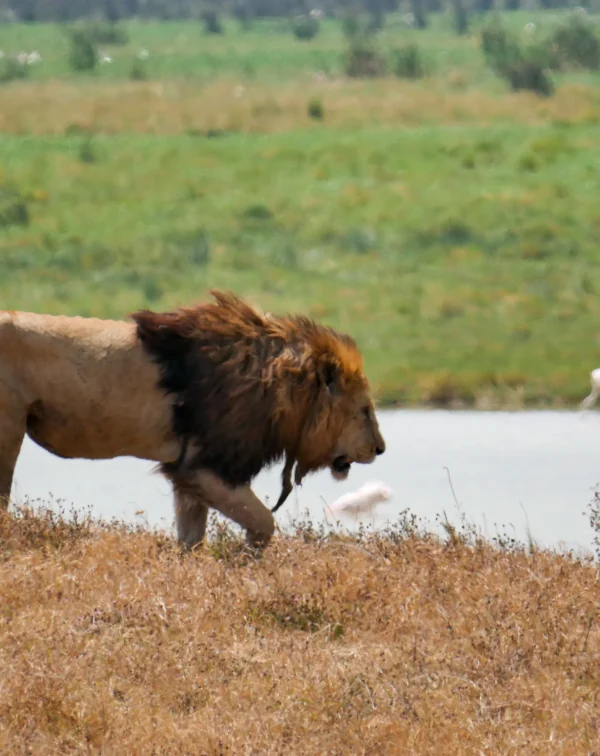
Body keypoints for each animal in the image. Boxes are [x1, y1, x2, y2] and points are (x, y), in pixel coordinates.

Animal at [0, 290, 386, 549]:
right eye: (365, 411)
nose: (380, 449)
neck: (280, 387)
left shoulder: (186, 473)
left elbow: (191, 538)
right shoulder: (205, 466)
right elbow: (264, 522)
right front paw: (246, 562)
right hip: (9, 428)